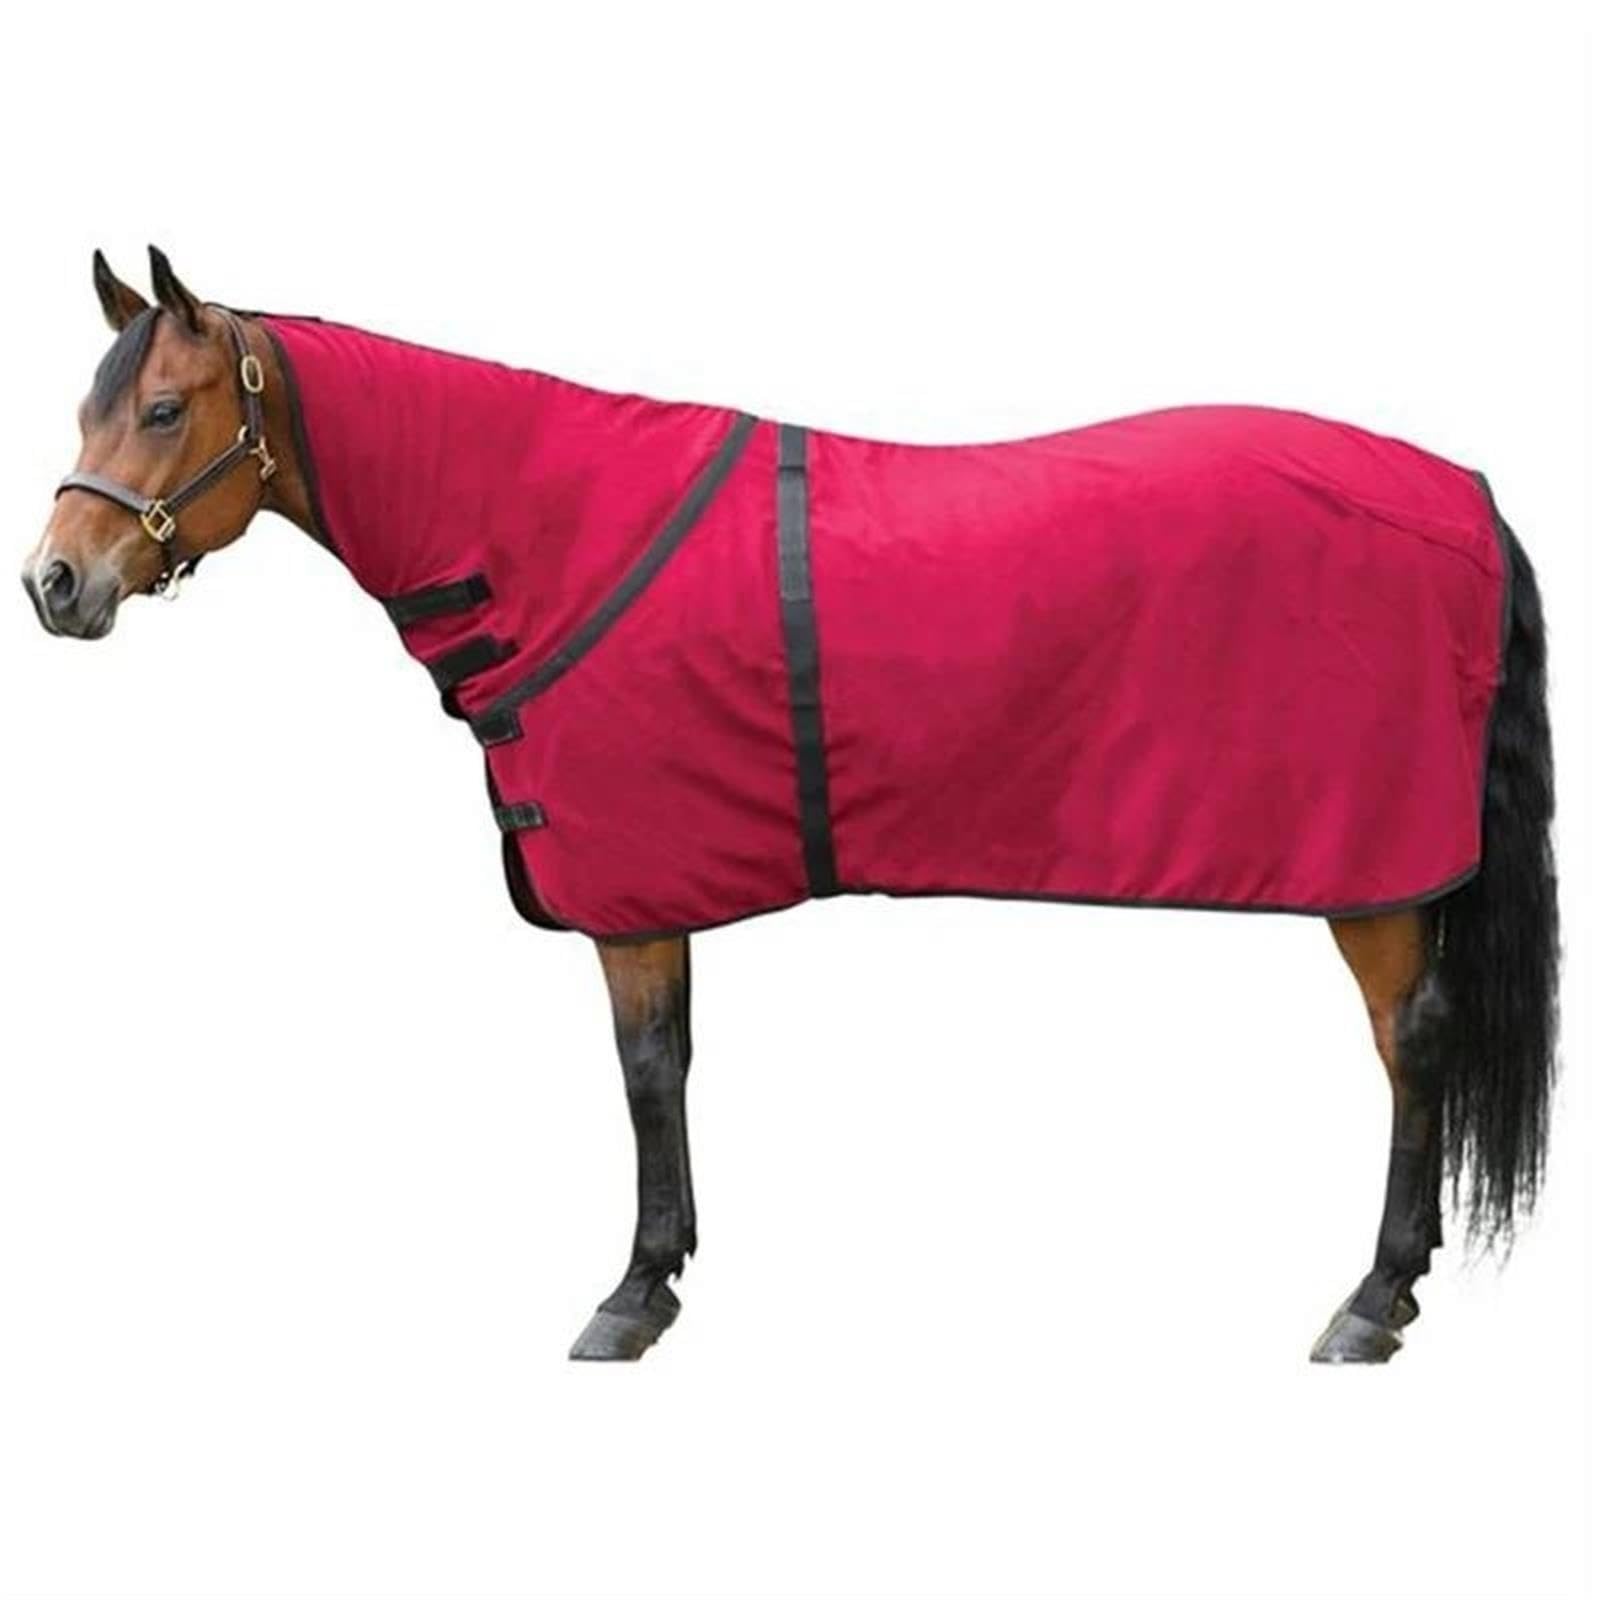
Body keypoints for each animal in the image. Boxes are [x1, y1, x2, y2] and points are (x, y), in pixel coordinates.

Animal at [22, 247, 1559, 1363]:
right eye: (90, 410)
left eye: (165, 409)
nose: (54, 585)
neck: (544, 526)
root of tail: (1465, 495)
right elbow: (676, 1066)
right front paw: (668, 1264)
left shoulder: (631, 897)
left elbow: (646, 1074)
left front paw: (633, 1295)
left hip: (1374, 879)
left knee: (1411, 1047)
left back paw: (1373, 1299)